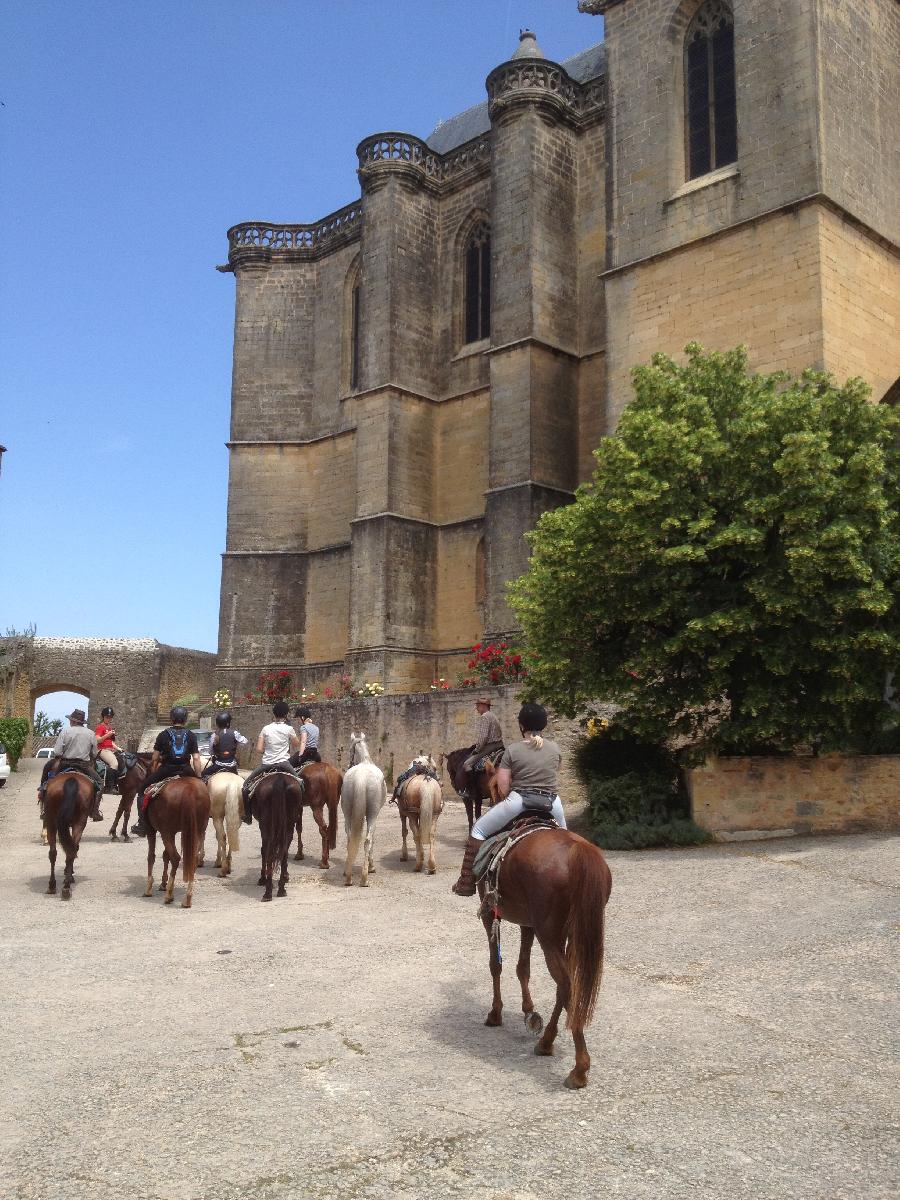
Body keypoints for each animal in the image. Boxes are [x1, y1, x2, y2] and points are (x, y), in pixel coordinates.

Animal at [42, 768, 94, 902]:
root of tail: (71, 779)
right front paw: (68, 873)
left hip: (51, 821)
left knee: (54, 853)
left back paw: (53, 886)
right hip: (79, 821)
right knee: (72, 850)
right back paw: (66, 885)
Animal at [141, 772, 211, 902]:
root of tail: (189, 789)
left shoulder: (152, 830)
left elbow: (151, 856)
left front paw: (149, 888)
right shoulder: (172, 833)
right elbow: (165, 855)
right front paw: (163, 883)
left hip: (166, 833)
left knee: (175, 858)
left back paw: (169, 894)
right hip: (198, 830)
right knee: (193, 859)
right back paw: (187, 898)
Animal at [250, 768, 303, 902]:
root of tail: (280, 779)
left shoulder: (262, 827)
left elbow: (264, 850)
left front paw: (262, 878)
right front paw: (285, 876)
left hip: (267, 826)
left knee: (268, 851)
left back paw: (267, 891)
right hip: (288, 824)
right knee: (283, 852)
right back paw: (281, 889)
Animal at [340, 724, 388, 888]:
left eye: (349, 751)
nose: (348, 764)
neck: (365, 761)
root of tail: (360, 777)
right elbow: (372, 839)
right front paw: (371, 867)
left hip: (347, 814)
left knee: (349, 838)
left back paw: (348, 875)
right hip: (373, 814)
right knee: (367, 839)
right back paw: (364, 877)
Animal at [480, 830, 614, 1094]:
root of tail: (577, 850)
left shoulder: (490, 913)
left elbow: (495, 965)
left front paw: (496, 1013)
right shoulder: (527, 922)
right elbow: (522, 967)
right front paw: (528, 1011)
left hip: (550, 935)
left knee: (566, 985)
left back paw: (578, 1070)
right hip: (571, 933)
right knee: (566, 985)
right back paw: (546, 1041)